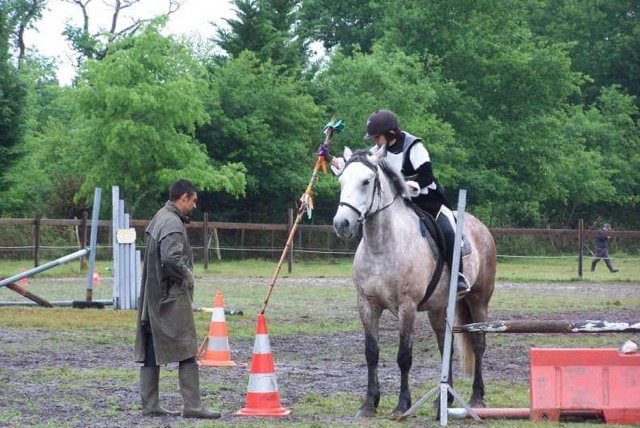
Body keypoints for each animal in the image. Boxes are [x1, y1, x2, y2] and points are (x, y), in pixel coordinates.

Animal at [332, 146, 498, 418]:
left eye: (366, 181)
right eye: (341, 181)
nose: (341, 224)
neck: (381, 246)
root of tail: (481, 227)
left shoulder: (406, 307)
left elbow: (404, 356)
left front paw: (402, 405)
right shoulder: (367, 305)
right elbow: (371, 353)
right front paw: (368, 404)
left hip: (478, 301)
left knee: (478, 343)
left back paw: (476, 398)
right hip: (439, 308)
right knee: (444, 345)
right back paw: (443, 400)